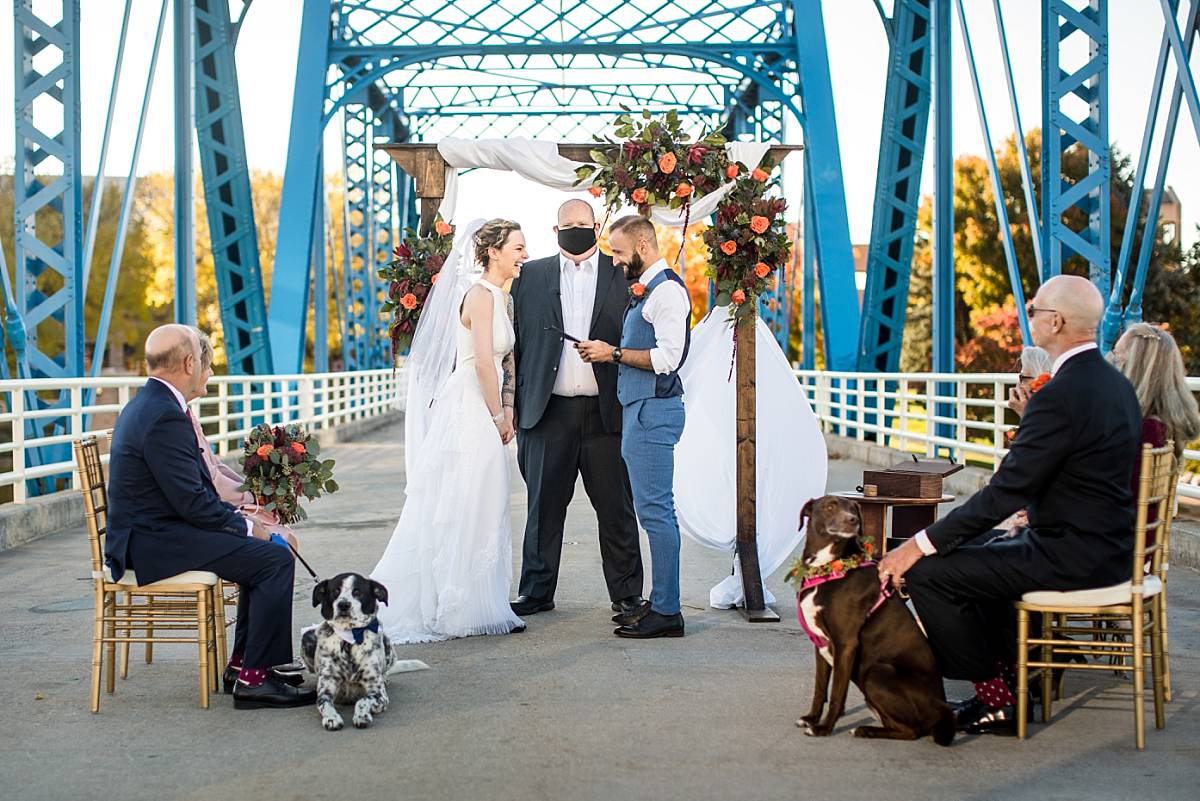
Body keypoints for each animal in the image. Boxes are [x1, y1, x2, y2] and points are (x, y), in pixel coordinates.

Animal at [302, 568, 396, 733]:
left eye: (357, 592)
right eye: (335, 591)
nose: (343, 605)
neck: (350, 638)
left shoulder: (379, 694)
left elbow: (362, 700)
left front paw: (362, 716)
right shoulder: (325, 691)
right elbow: (326, 705)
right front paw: (332, 718)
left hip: (387, 642)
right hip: (307, 636)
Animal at [792, 494, 950, 743]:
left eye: (854, 508)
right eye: (830, 506)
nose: (853, 520)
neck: (828, 568)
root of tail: (941, 707)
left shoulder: (846, 644)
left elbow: (836, 693)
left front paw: (823, 728)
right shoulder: (820, 643)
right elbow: (820, 688)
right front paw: (810, 718)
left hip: (876, 673)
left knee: (913, 731)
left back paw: (865, 730)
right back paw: (867, 729)